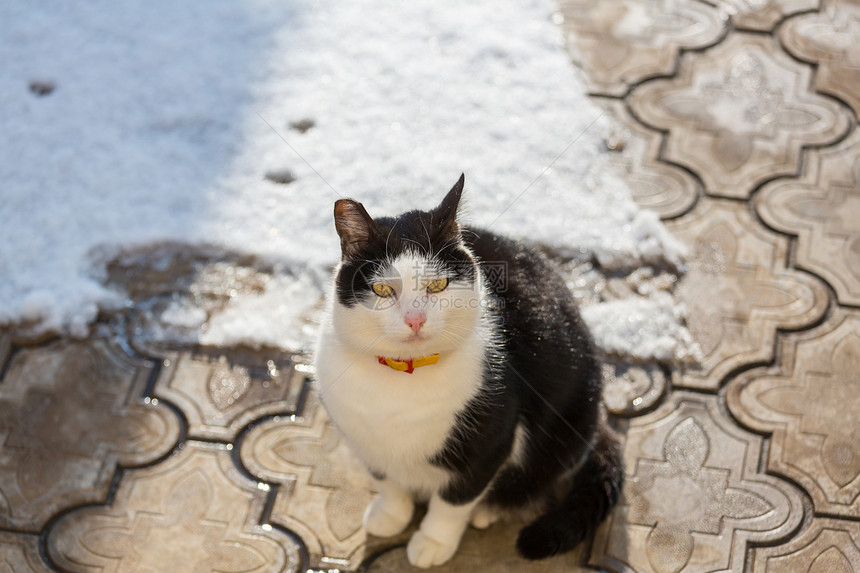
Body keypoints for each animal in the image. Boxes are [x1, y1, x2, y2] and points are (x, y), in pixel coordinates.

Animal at [312, 174, 620, 568]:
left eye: (438, 285)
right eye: (382, 289)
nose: (415, 319)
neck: (404, 374)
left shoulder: (491, 441)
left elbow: (454, 499)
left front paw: (433, 541)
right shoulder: (362, 439)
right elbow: (388, 481)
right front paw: (390, 514)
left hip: (569, 420)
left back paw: (489, 510)